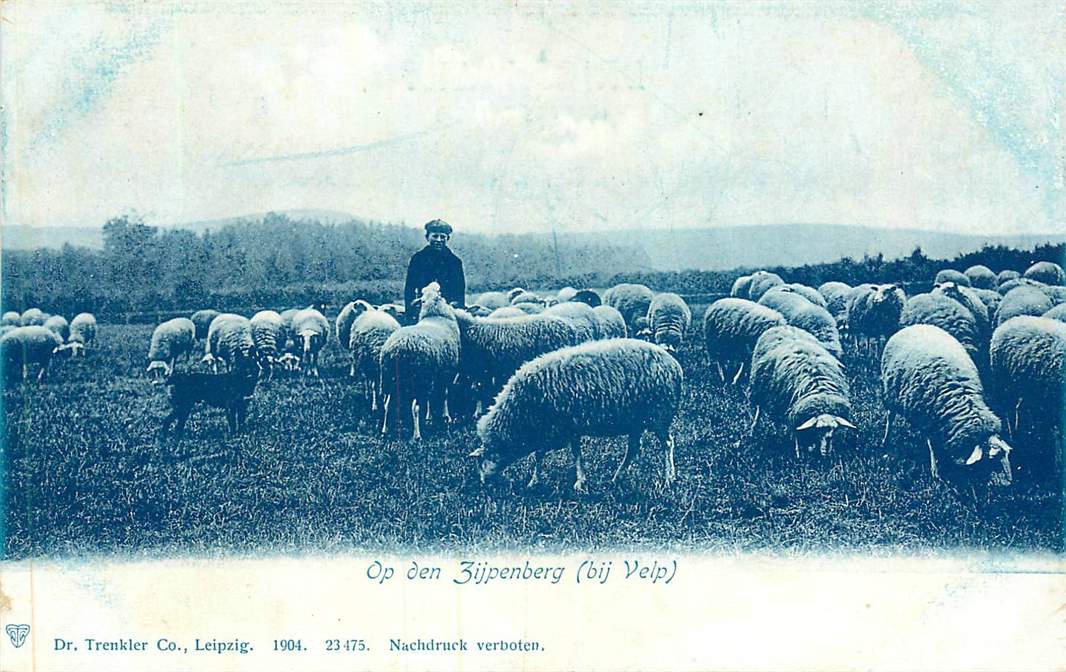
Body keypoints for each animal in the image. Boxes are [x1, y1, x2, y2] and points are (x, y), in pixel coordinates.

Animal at [381, 283, 460, 441]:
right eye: (440, 293)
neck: (435, 315)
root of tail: (398, 348)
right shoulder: (447, 372)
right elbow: (445, 395)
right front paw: (446, 416)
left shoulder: (434, 374)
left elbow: (430, 397)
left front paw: (429, 417)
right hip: (418, 378)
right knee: (415, 407)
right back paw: (417, 435)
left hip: (390, 378)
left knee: (387, 404)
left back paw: (384, 430)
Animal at [473, 339, 686, 492]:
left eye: (482, 459)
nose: (482, 483)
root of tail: (675, 365)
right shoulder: (564, 427)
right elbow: (561, 453)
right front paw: (576, 479)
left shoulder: (558, 426)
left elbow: (545, 455)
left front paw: (539, 481)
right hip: (636, 421)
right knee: (633, 448)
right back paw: (616, 477)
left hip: (658, 414)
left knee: (667, 444)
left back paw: (669, 478)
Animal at [750, 328, 857, 460]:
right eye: (819, 429)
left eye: (834, 430)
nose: (826, 451)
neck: (819, 388)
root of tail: (783, 326)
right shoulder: (794, 412)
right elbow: (797, 435)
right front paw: (799, 455)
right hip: (758, 388)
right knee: (759, 410)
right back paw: (753, 430)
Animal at [878, 328, 1010, 490]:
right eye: (992, 459)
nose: (1009, 484)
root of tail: (917, 326)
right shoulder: (928, 420)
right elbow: (933, 447)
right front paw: (936, 474)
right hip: (889, 394)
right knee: (890, 417)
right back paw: (886, 441)